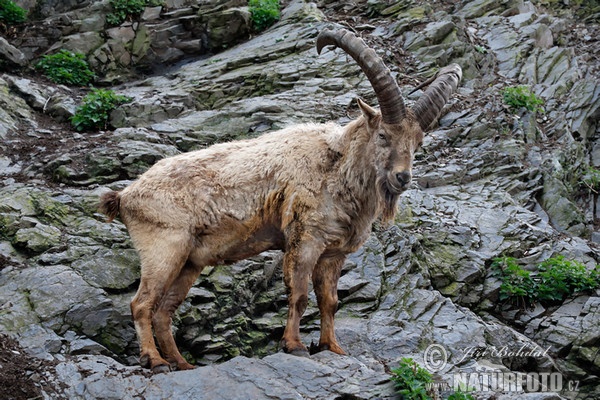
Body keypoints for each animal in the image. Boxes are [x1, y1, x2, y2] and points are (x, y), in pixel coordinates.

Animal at [101, 27, 462, 372]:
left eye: (418, 143)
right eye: (384, 135)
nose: (402, 177)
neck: (336, 166)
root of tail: (126, 196)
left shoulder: (333, 253)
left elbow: (330, 301)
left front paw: (333, 347)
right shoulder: (305, 238)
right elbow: (299, 294)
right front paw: (294, 345)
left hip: (189, 262)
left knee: (164, 310)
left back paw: (181, 362)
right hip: (164, 248)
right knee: (142, 303)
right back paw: (156, 361)